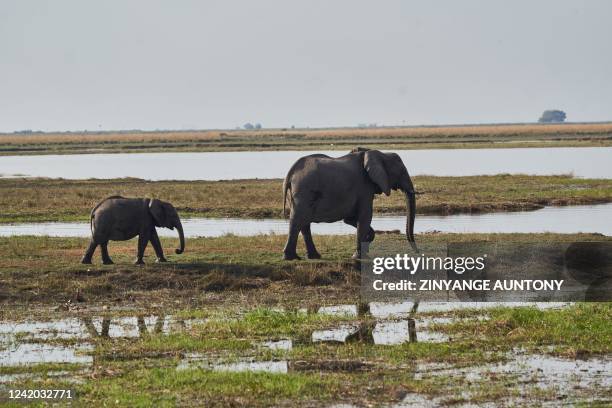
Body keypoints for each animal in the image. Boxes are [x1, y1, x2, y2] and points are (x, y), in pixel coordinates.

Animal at [280, 148, 416, 260]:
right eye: (401, 172)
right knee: (298, 220)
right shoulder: (364, 187)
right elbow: (365, 217)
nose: (417, 251)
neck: (380, 154)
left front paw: (365, 245)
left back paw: (313, 256)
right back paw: (291, 258)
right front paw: (358, 257)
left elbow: (351, 219)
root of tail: (291, 172)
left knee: (304, 223)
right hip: (303, 191)